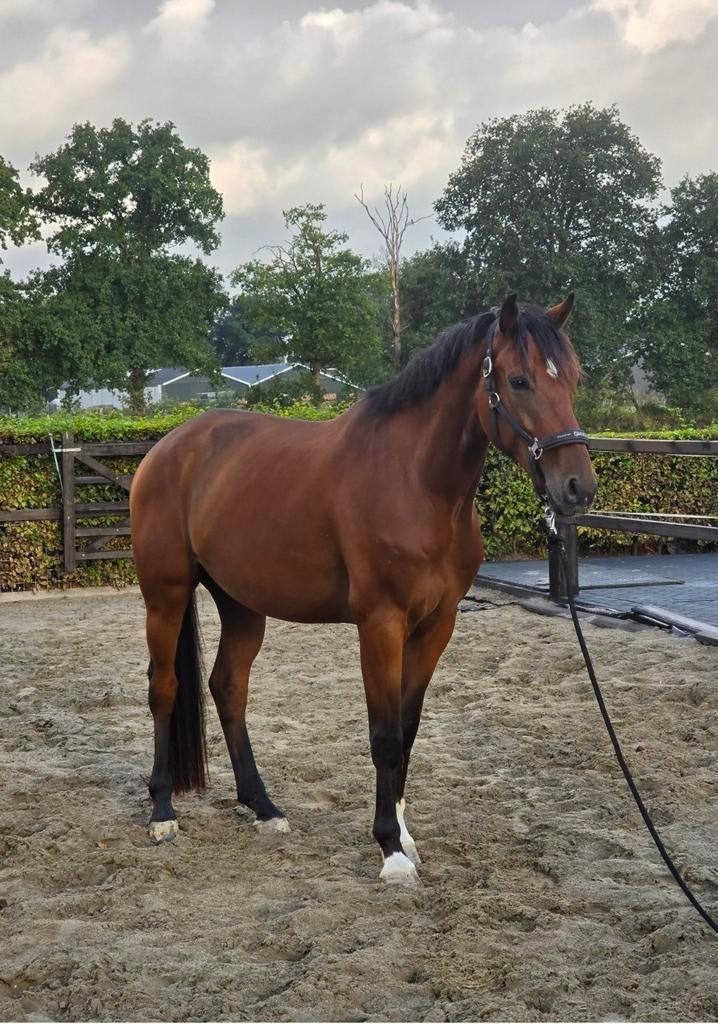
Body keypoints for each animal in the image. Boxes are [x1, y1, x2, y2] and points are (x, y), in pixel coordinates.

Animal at [129, 293, 597, 885]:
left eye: (573, 379)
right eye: (518, 381)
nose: (578, 487)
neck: (416, 483)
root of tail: (167, 448)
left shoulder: (436, 626)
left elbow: (408, 730)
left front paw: (405, 835)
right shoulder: (381, 624)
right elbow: (384, 736)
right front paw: (390, 850)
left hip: (242, 605)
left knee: (228, 688)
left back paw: (263, 806)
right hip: (165, 596)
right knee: (164, 690)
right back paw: (162, 812)